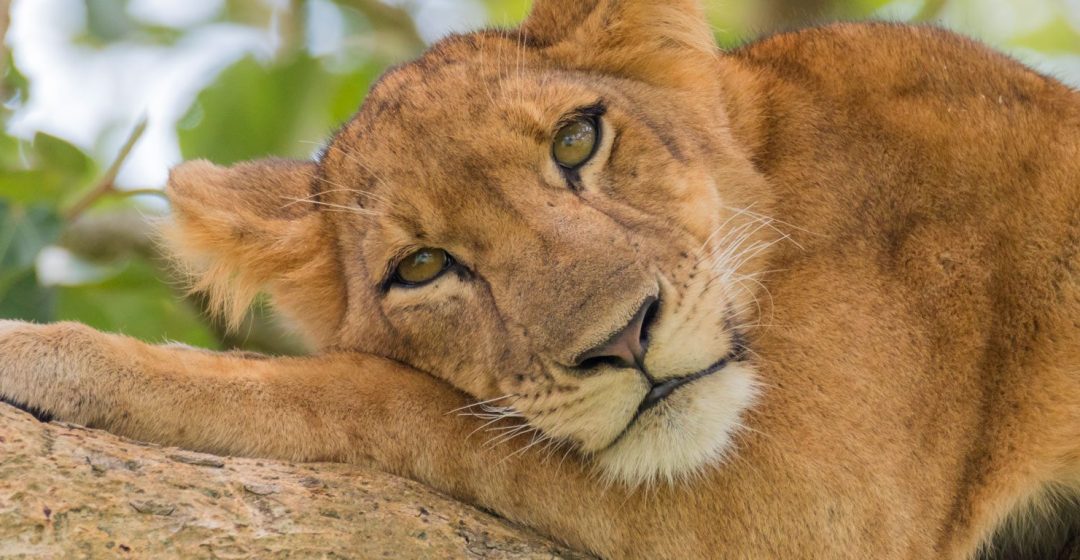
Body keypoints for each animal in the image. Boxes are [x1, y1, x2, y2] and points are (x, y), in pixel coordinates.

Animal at [2, 0, 1080, 556]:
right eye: (422, 266)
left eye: (576, 140)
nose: (625, 337)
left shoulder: (813, 506)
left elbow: (372, 393)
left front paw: (55, 354)